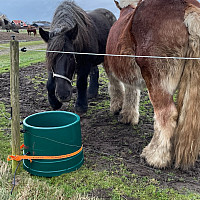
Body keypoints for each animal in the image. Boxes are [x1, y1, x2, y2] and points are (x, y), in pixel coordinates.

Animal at [104, 0, 200, 170]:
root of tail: (187, 5)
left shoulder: (111, 69)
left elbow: (117, 88)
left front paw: (117, 108)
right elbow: (132, 93)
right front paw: (129, 116)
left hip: (157, 81)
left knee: (166, 114)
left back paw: (155, 157)